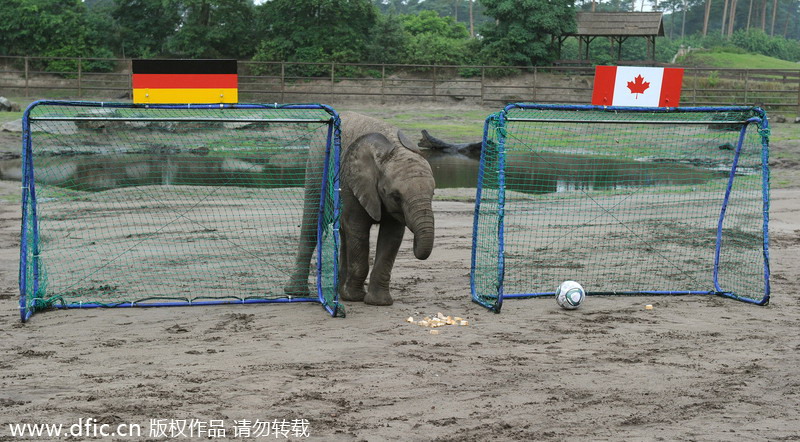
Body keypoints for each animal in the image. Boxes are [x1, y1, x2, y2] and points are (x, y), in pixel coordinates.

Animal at [284, 111, 436, 306]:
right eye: (396, 196)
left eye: (433, 193)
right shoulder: (351, 183)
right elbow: (358, 229)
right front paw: (355, 297)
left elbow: (392, 236)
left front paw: (379, 302)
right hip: (315, 167)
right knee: (312, 227)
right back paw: (297, 292)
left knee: (342, 232)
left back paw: (339, 292)